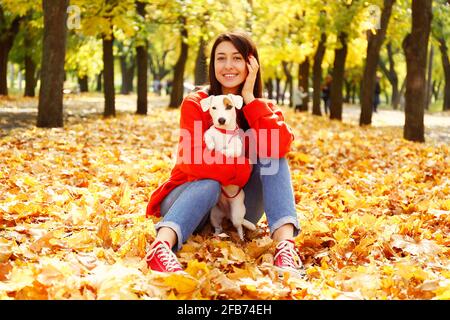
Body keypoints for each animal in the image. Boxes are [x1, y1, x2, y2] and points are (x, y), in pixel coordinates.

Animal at [200, 94, 256, 240]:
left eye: (229, 106)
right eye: (214, 108)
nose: (221, 120)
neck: (223, 132)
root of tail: (226, 213)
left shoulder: (236, 146)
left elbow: (231, 150)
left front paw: (223, 151)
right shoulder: (209, 132)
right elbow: (208, 135)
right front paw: (211, 145)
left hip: (237, 212)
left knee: (239, 225)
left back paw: (242, 237)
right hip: (214, 215)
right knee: (219, 227)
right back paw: (217, 236)